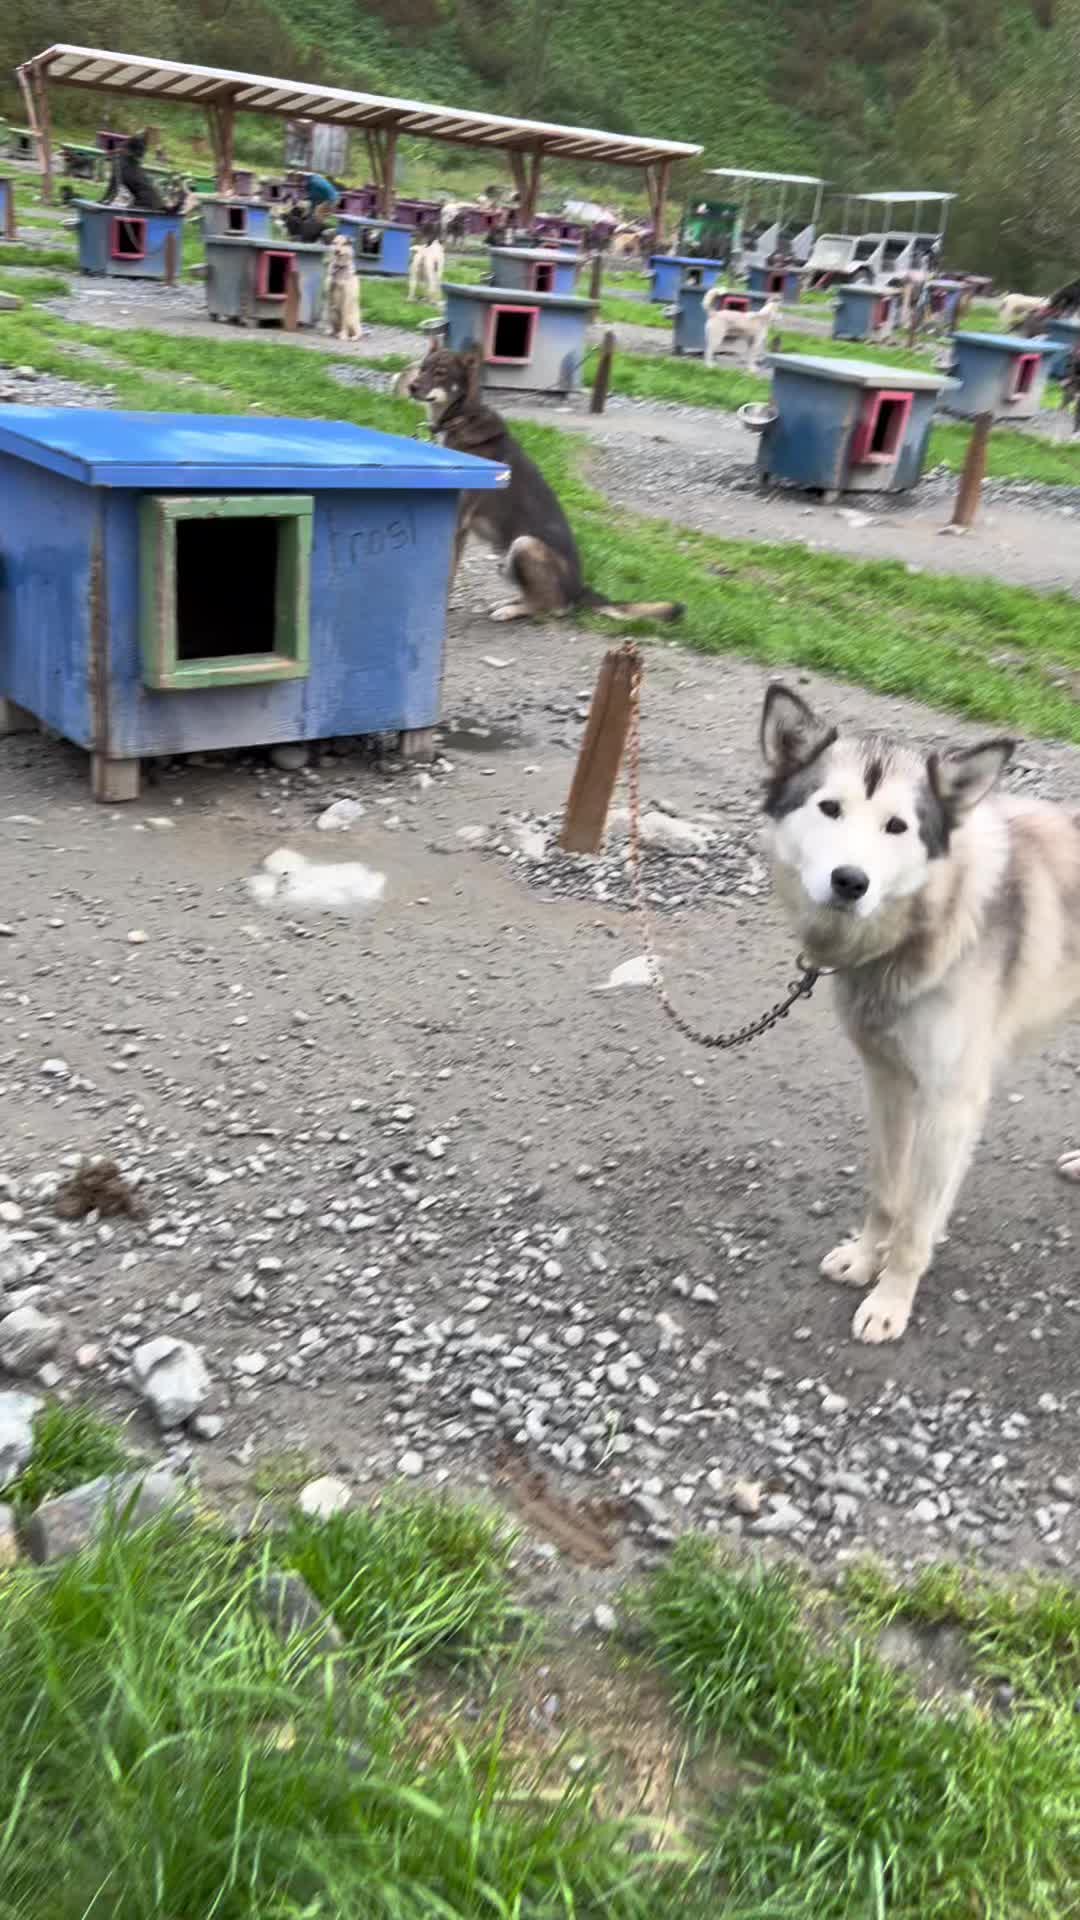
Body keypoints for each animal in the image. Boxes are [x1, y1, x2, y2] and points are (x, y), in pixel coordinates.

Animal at [403, 341, 680, 618]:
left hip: (524, 544)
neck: (460, 419)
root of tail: (579, 591)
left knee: (549, 606)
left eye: (440, 372)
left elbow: (447, 575)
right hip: (506, 558)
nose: (412, 386)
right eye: (423, 367)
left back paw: (509, 611)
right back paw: (507, 603)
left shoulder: (458, 524)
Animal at [757, 683, 1076, 1344]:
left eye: (897, 826)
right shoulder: (887, 1082)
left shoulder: (950, 1103)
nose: (850, 881)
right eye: (829, 808)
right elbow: (887, 1193)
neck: (924, 924)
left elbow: (913, 1224)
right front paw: (863, 1259)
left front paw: (891, 1300)